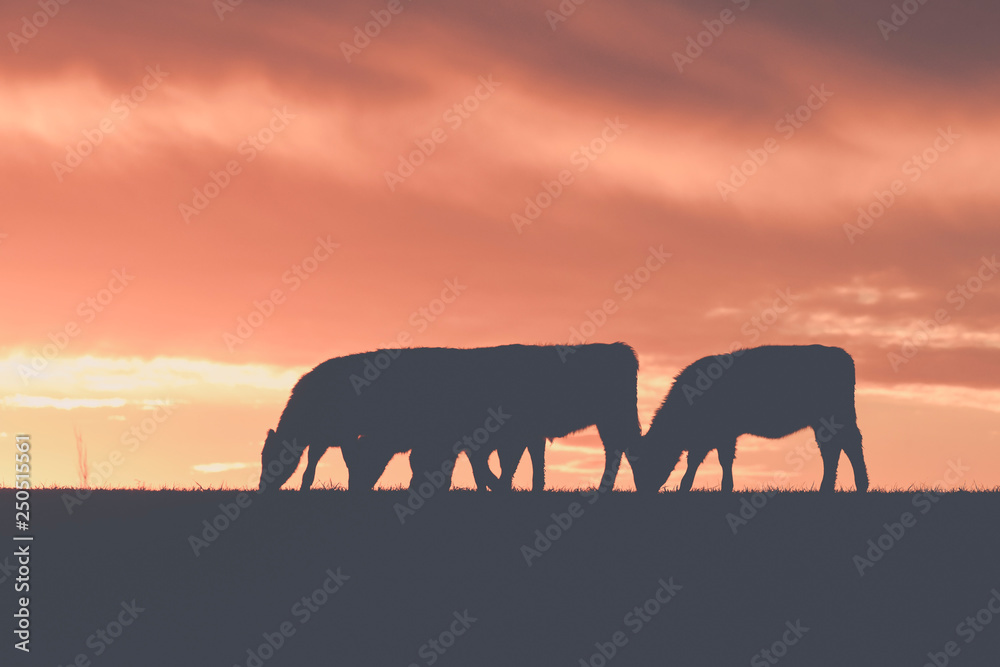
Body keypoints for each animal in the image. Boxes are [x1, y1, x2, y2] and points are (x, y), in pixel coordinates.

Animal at [636, 344, 872, 496]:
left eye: (648, 458)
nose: (643, 490)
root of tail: (840, 354)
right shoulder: (710, 438)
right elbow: (698, 461)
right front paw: (687, 486)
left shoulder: (722, 435)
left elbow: (718, 460)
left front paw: (721, 487)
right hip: (824, 422)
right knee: (832, 449)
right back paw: (828, 488)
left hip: (838, 416)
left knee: (849, 444)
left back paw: (860, 484)